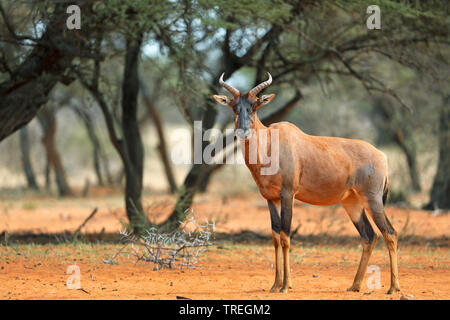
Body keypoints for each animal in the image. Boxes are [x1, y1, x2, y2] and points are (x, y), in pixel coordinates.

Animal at [214, 73, 400, 296]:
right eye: (234, 106)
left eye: (254, 106)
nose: (243, 133)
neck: (272, 143)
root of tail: (382, 155)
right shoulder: (270, 198)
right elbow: (275, 237)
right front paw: (275, 285)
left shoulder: (288, 194)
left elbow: (285, 236)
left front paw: (286, 286)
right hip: (352, 203)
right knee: (369, 236)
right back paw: (355, 285)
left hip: (372, 200)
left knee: (390, 233)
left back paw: (393, 288)